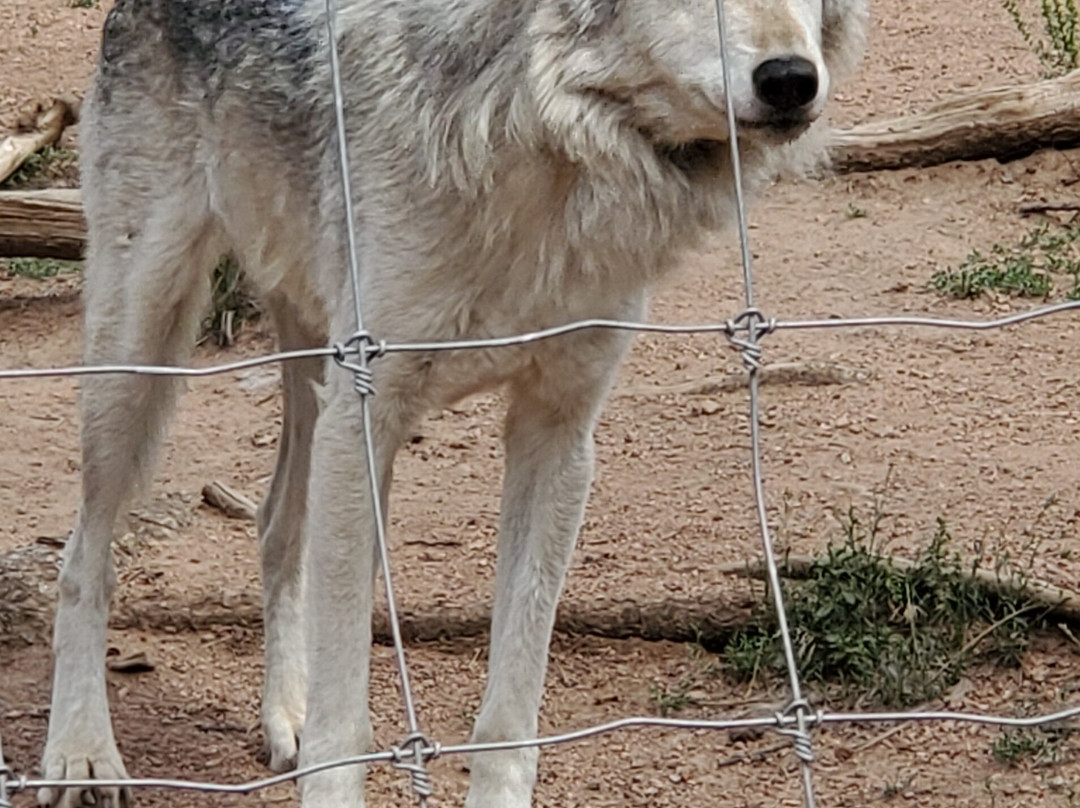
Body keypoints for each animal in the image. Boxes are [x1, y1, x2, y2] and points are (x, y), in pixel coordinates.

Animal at [39, 0, 868, 803]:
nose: (790, 79)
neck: (544, 131)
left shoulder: (557, 432)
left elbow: (510, 714)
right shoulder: (367, 421)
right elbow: (348, 728)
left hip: (307, 367)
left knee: (275, 523)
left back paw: (285, 715)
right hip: (142, 353)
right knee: (84, 557)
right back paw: (82, 754)